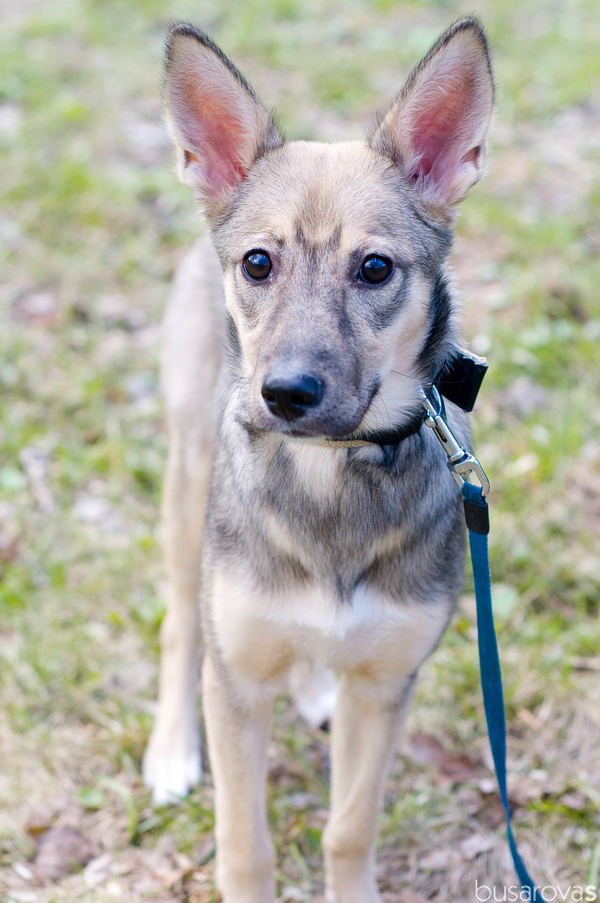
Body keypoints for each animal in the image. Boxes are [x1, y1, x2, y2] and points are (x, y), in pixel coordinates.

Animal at [143, 21, 494, 903]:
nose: (286, 393)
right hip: (186, 486)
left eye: (375, 268)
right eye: (258, 263)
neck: (327, 474)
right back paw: (170, 749)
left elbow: (349, 826)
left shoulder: (387, 687)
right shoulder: (235, 687)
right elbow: (245, 844)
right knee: (180, 626)